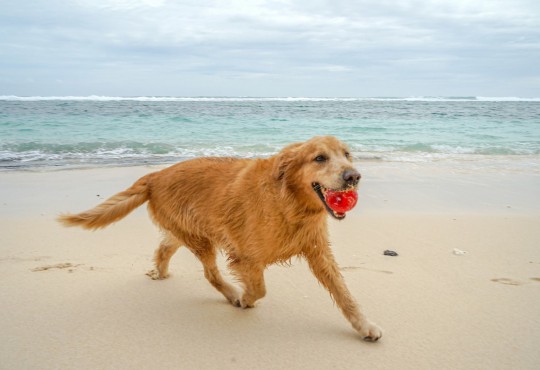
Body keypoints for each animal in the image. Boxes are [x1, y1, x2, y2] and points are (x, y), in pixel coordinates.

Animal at [58, 135, 380, 342]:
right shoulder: (246, 256)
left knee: (164, 247)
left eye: (347, 154)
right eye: (319, 158)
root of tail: (155, 176)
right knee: (210, 274)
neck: (289, 203)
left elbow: (345, 294)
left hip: (187, 231)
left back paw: (160, 272)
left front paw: (364, 326)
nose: (353, 177)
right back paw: (231, 294)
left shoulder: (318, 252)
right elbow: (259, 289)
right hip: (201, 239)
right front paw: (245, 298)